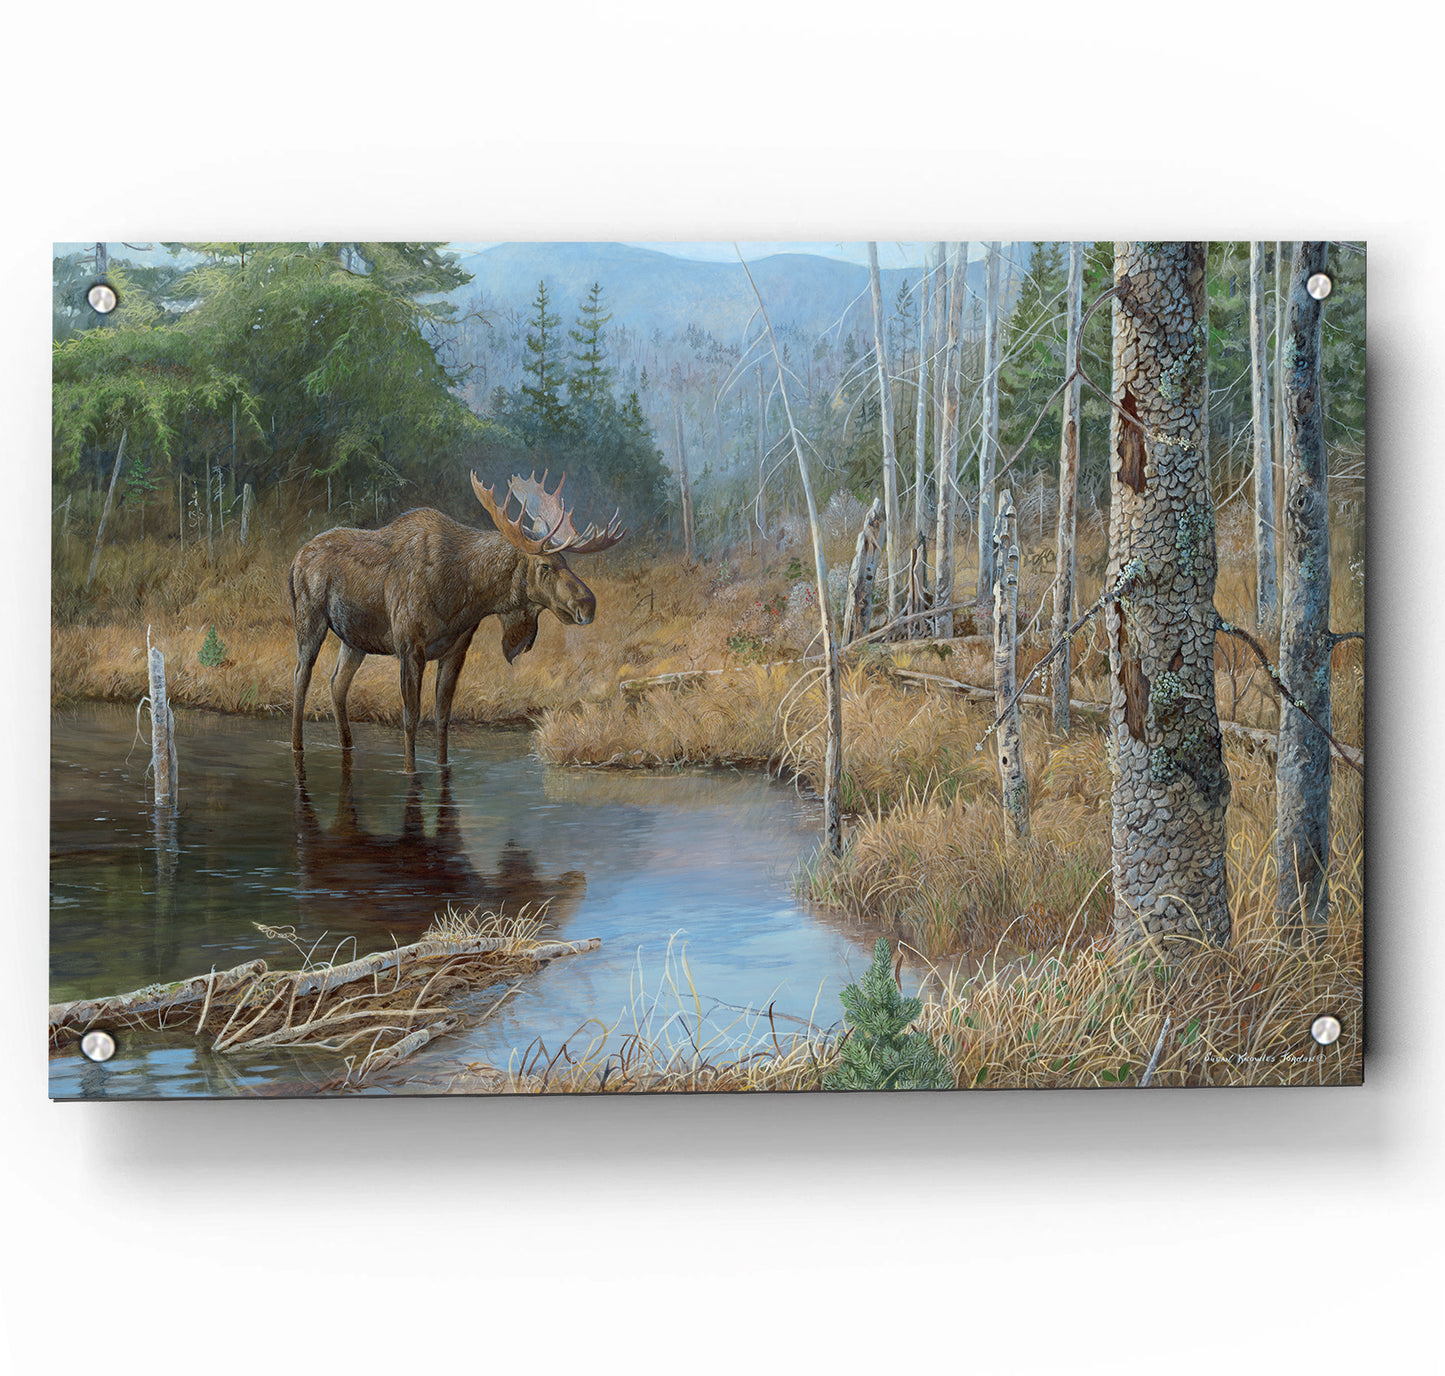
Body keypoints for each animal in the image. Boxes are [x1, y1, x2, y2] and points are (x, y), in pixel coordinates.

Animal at [290, 471, 625, 772]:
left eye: (566, 561)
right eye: (545, 564)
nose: (588, 604)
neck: (468, 595)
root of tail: (296, 558)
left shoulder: (456, 649)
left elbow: (442, 715)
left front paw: (442, 764)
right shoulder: (410, 647)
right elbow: (411, 716)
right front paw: (409, 770)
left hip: (354, 640)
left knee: (337, 683)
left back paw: (347, 745)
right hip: (310, 620)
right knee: (301, 677)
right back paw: (297, 746)